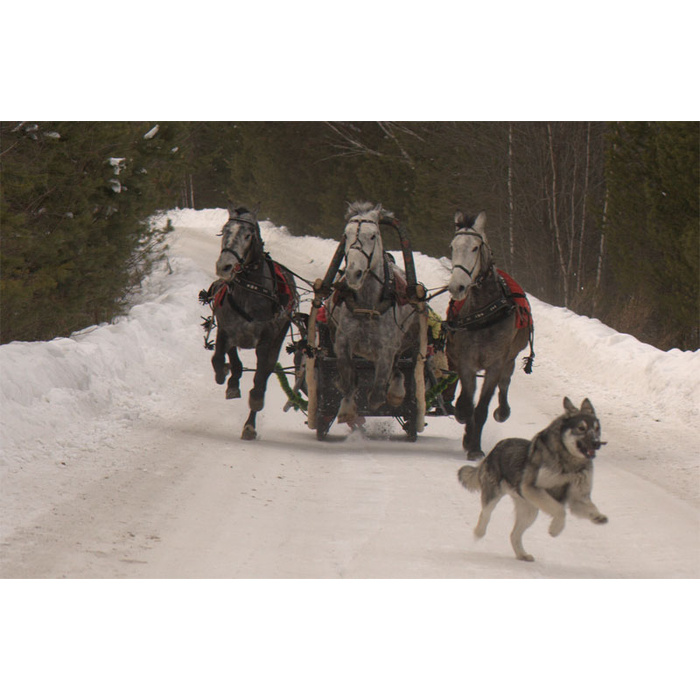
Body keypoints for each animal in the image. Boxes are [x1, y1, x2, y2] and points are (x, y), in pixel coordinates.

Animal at [208, 205, 296, 440]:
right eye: (224, 231)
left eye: (249, 235)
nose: (225, 266)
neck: (250, 291)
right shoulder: (226, 329)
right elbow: (220, 358)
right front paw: (228, 376)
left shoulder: (265, 339)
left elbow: (259, 379)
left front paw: (254, 403)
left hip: (278, 339)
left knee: (264, 373)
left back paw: (250, 424)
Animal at [326, 200, 418, 424]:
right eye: (347, 234)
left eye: (373, 235)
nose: (353, 272)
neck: (367, 305)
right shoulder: (343, 341)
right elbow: (348, 377)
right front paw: (347, 407)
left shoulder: (386, 348)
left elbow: (377, 393)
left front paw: (387, 395)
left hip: (407, 340)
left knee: (397, 369)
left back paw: (396, 389)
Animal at [446, 209, 532, 460]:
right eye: (452, 247)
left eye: (475, 247)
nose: (457, 287)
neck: (484, 314)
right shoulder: (466, 359)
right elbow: (467, 400)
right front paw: (466, 426)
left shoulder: (495, 362)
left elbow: (482, 407)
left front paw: (475, 447)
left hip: (510, 359)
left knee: (505, 382)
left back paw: (502, 411)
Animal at [460, 396, 608, 560]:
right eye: (581, 428)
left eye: (597, 428)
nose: (596, 443)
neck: (569, 463)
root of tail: (496, 448)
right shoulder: (532, 488)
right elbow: (560, 511)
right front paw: (555, 529)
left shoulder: (577, 498)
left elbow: (590, 507)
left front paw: (598, 516)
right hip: (494, 495)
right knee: (485, 514)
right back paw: (478, 532)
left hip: (529, 511)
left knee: (514, 534)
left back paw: (522, 555)